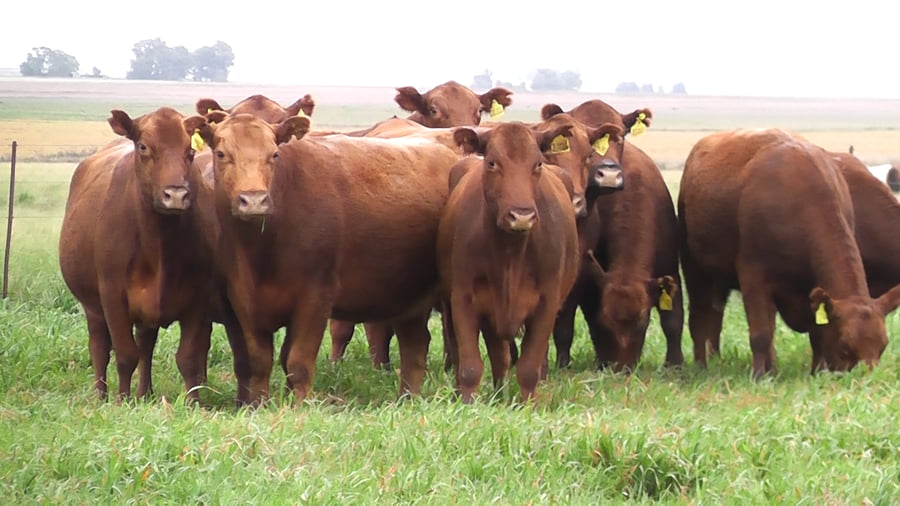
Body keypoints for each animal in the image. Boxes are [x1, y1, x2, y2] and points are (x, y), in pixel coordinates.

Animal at [59, 107, 212, 402]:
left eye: (190, 150)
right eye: (143, 146)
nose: (176, 195)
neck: (159, 244)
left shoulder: (199, 296)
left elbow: (188, 357)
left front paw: (193, 403)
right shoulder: (112, 295)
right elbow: (125, 355)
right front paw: (122, 400)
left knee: (146, 344)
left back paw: (145, 392)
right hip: (93, 307)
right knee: (99, 348)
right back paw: (102, 395)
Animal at [195, 112, 463, 405]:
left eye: (274, 154)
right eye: (221, 154)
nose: (254, 200)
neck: (261, 253)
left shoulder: (315, 296)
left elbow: (297, 361)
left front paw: (300, 405)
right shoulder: (242, 300)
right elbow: (259, 362)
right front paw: (258, 405)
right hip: (409, 299)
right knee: (414, 345)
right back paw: (407, 399)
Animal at [437, 122, 581, 403]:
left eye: (537, 164)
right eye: (492, 162)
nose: (521, 215)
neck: (509, 255)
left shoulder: (547, 302)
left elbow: (529, 366)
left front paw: (528, 405)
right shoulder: (462, 299)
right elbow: (470, 366)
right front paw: (467, 403)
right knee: (495, 358)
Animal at [679, 128, 900, 377]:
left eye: (883, 346)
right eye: (844, 346)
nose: (867, 380)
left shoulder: (814, 288)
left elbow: (816, 333)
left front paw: (817, 371)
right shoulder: (753, 277)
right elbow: (761, 334)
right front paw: (758, 376)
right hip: (695, 269)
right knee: (700, 318)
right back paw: (702, 365)